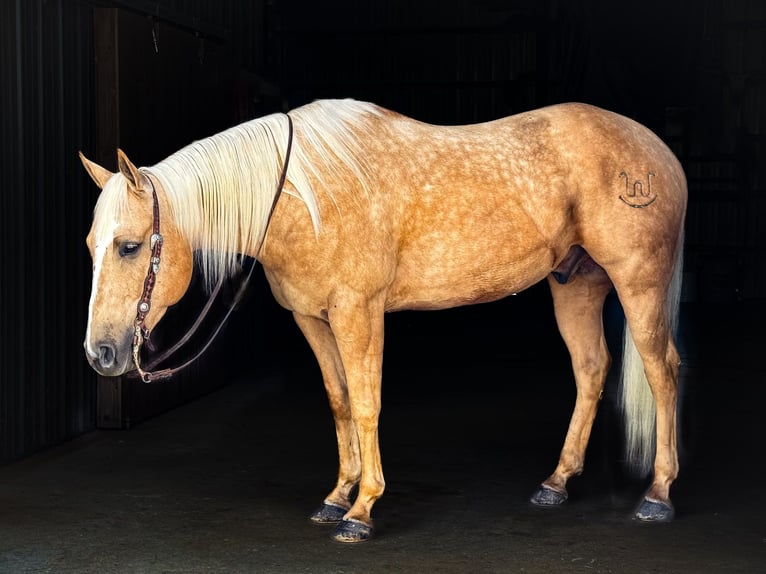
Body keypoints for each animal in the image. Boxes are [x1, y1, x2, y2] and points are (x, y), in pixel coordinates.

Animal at [81, 99, 688, 544]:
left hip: (638, 283)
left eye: (130, 246)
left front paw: (362, 510)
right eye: (92, 245)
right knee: (591, 369)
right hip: (576, 285)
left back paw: (658, 495)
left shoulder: (359, 312)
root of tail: (659, 151)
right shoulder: (313, 318)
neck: (306, 196)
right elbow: (340, 400)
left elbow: (367, 402)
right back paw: (556, 483)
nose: (100, 354)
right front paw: (337, 497)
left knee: (662, 371)